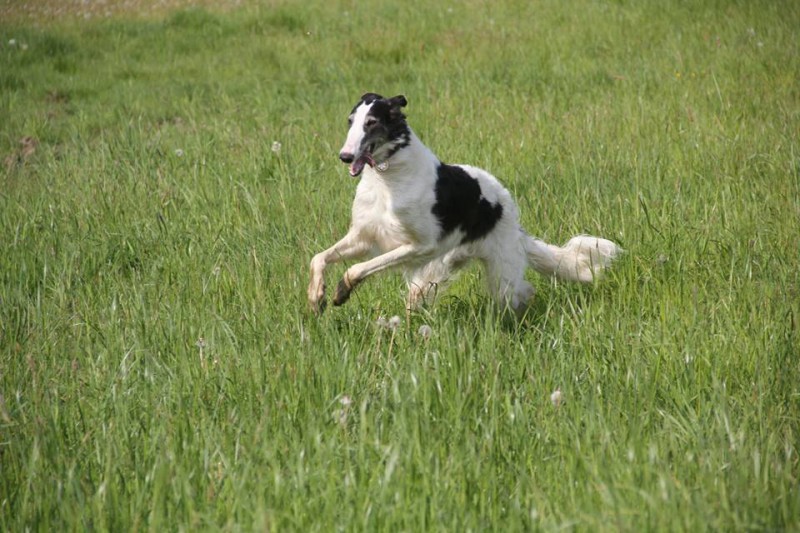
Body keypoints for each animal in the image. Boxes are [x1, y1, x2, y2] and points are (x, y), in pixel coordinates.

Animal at [306, 93, 620, 314]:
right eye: (351, 121)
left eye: (371, 122)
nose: (345, 156)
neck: (388, 179)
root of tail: (513, 218)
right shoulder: (364, 236)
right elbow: (319, 258)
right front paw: (316, 296)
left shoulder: (420, 246)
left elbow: (356, 269)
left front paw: (340, 292)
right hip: (441, 267)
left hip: (499, 271)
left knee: (522, 292)